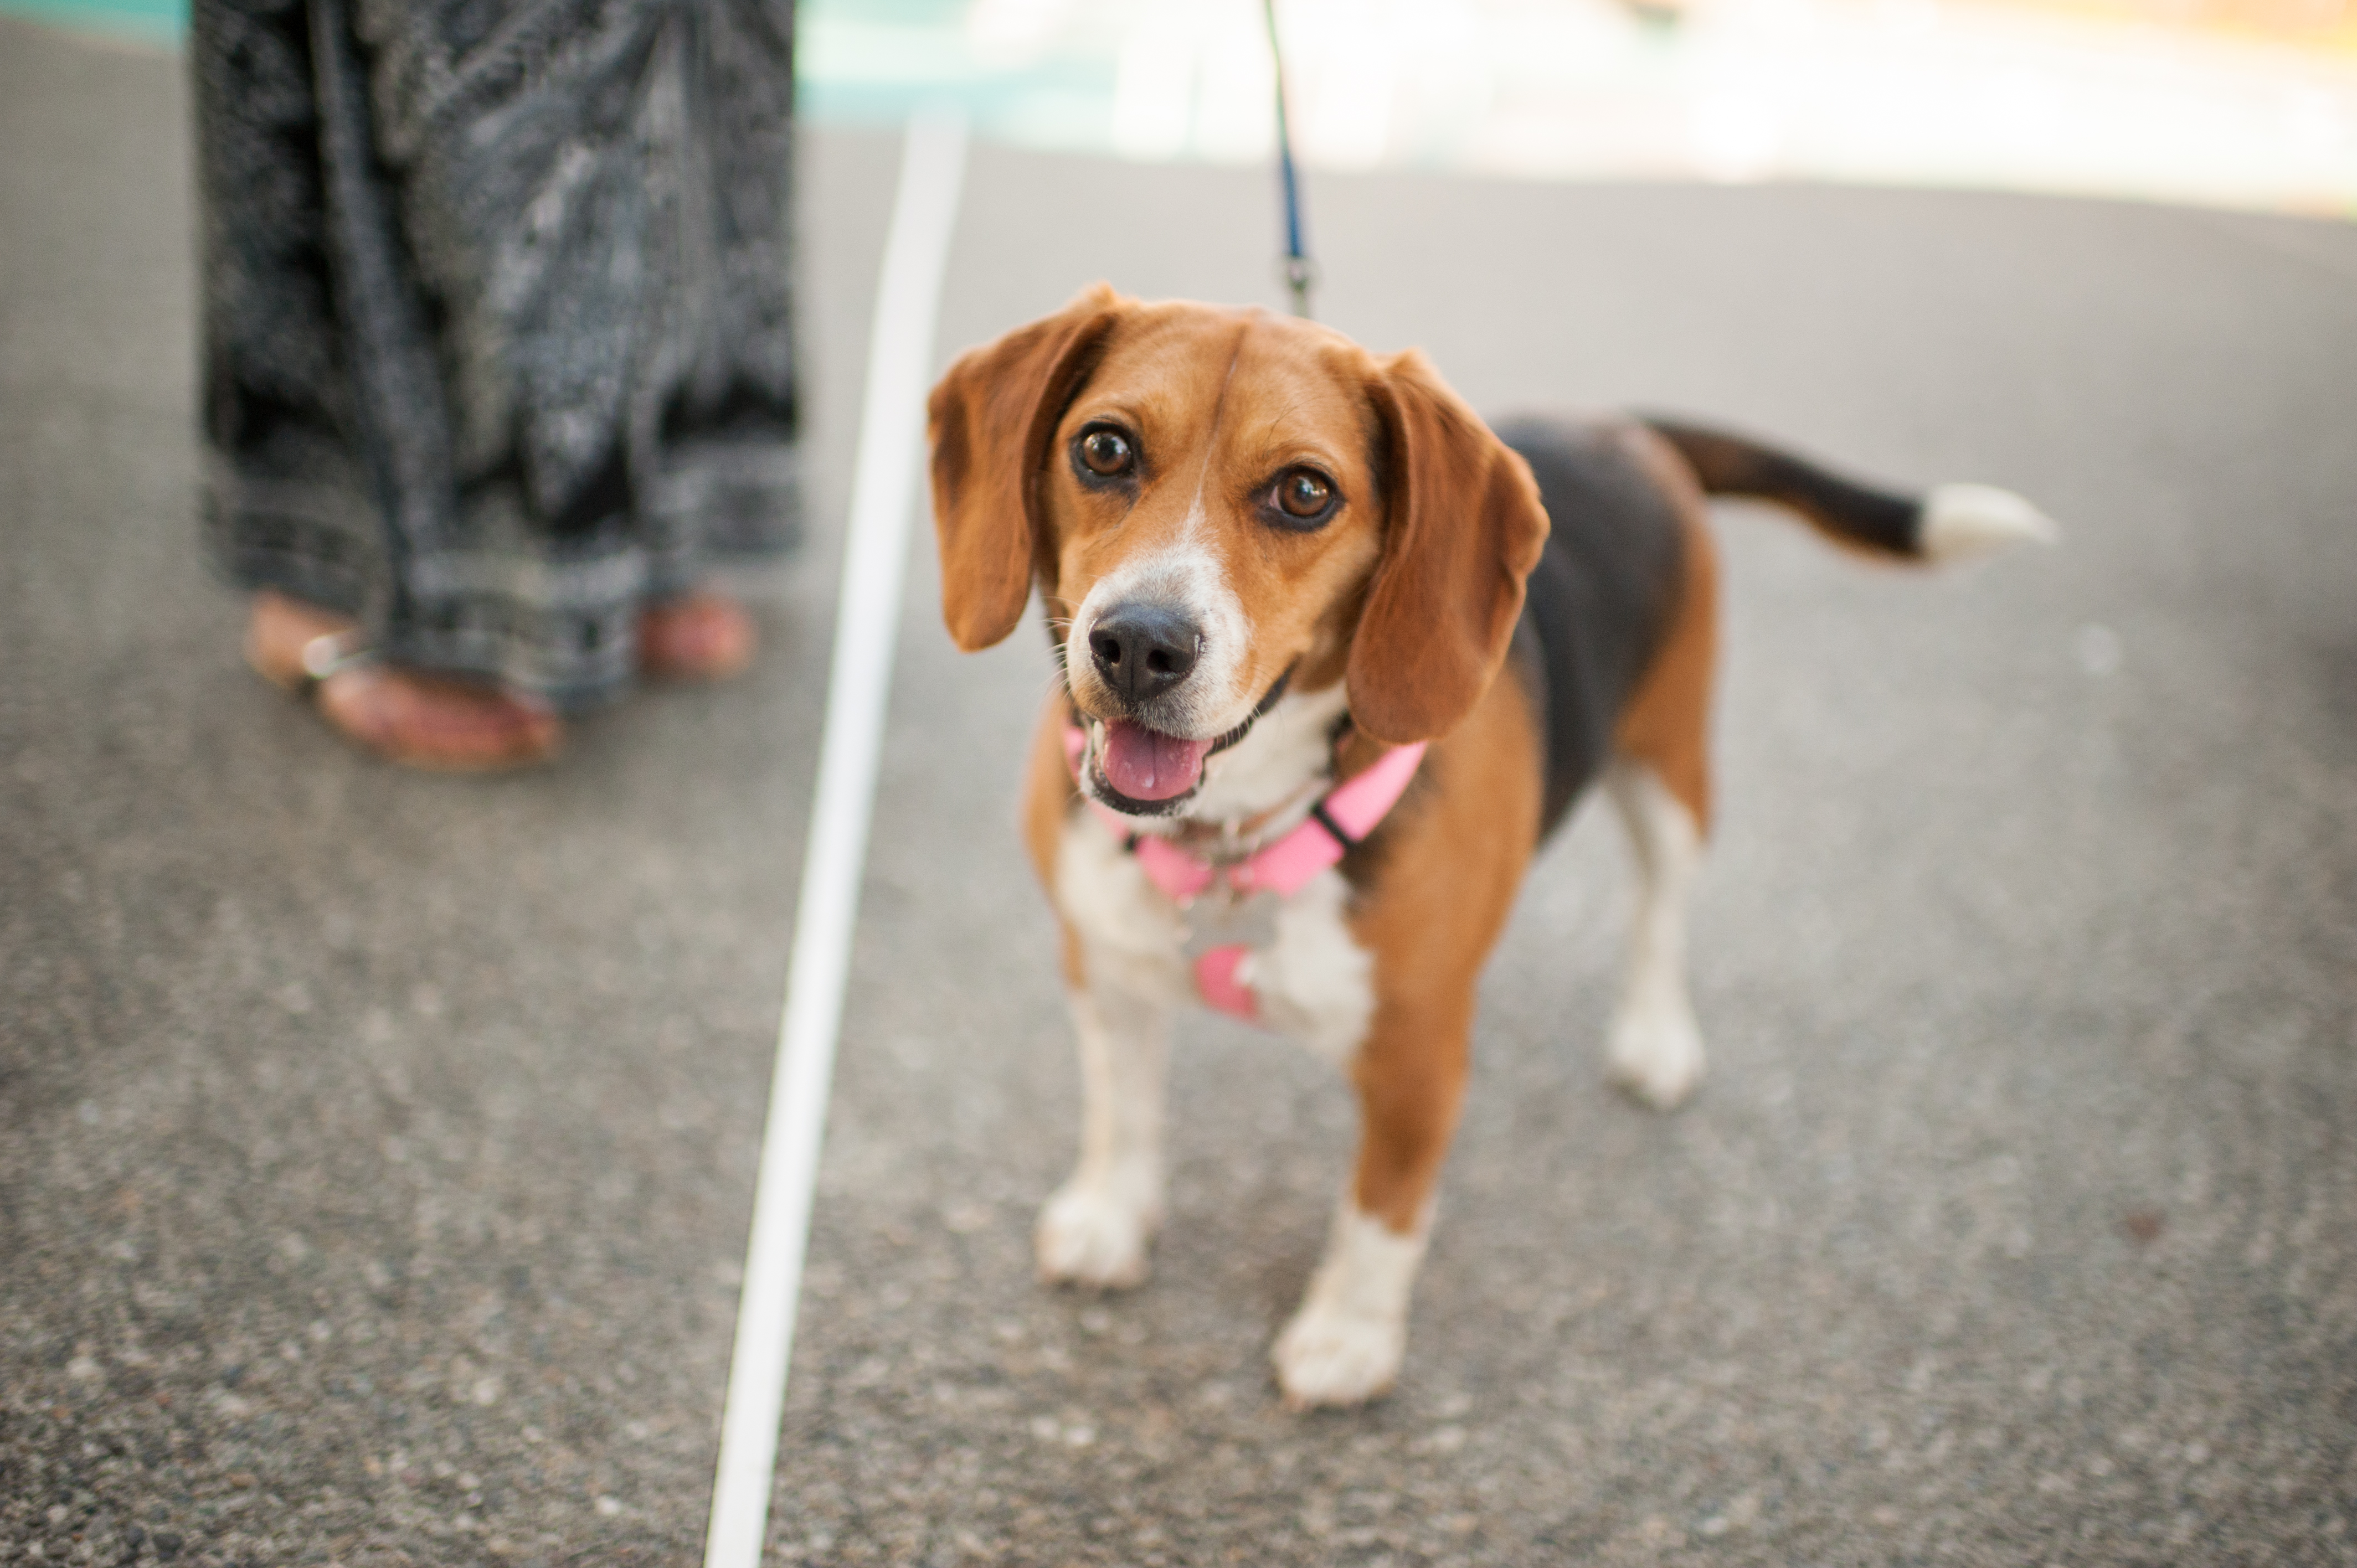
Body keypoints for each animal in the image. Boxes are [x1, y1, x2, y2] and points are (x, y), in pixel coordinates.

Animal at [919, 281, 2046, 1405]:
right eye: (1104, 449)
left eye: (1304, 493)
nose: (1138, 644)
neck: (1236, 826)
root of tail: (1619, 426)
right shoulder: (1104, 969)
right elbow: (1122, 1111)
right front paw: (1110, 1219)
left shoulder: (1417, 1057)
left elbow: (1382, 1210)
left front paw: (1346, 1337)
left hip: (1668, 769)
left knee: (1661, 906)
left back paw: (1655, 1036)